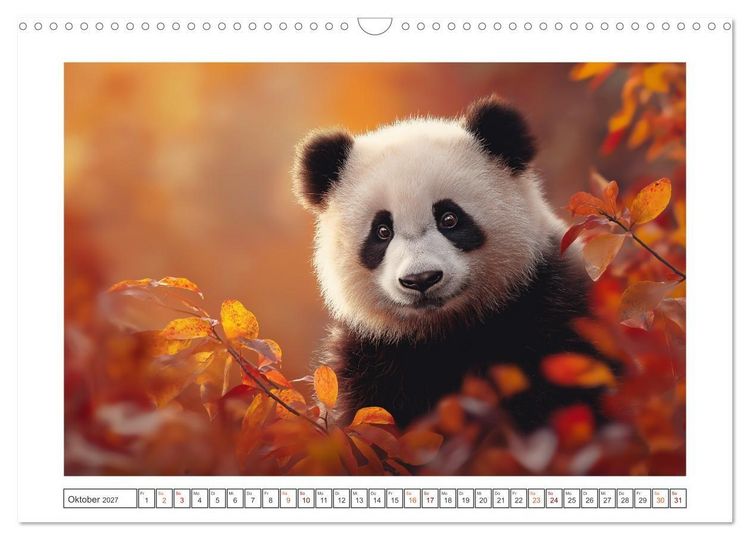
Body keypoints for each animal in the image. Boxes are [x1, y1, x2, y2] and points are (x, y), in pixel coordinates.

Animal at [292, 95, 610, 434]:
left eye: (449, 218)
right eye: (382, 231)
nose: (421, 279)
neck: (445, 332)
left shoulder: (554, 312)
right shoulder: (369, 360)